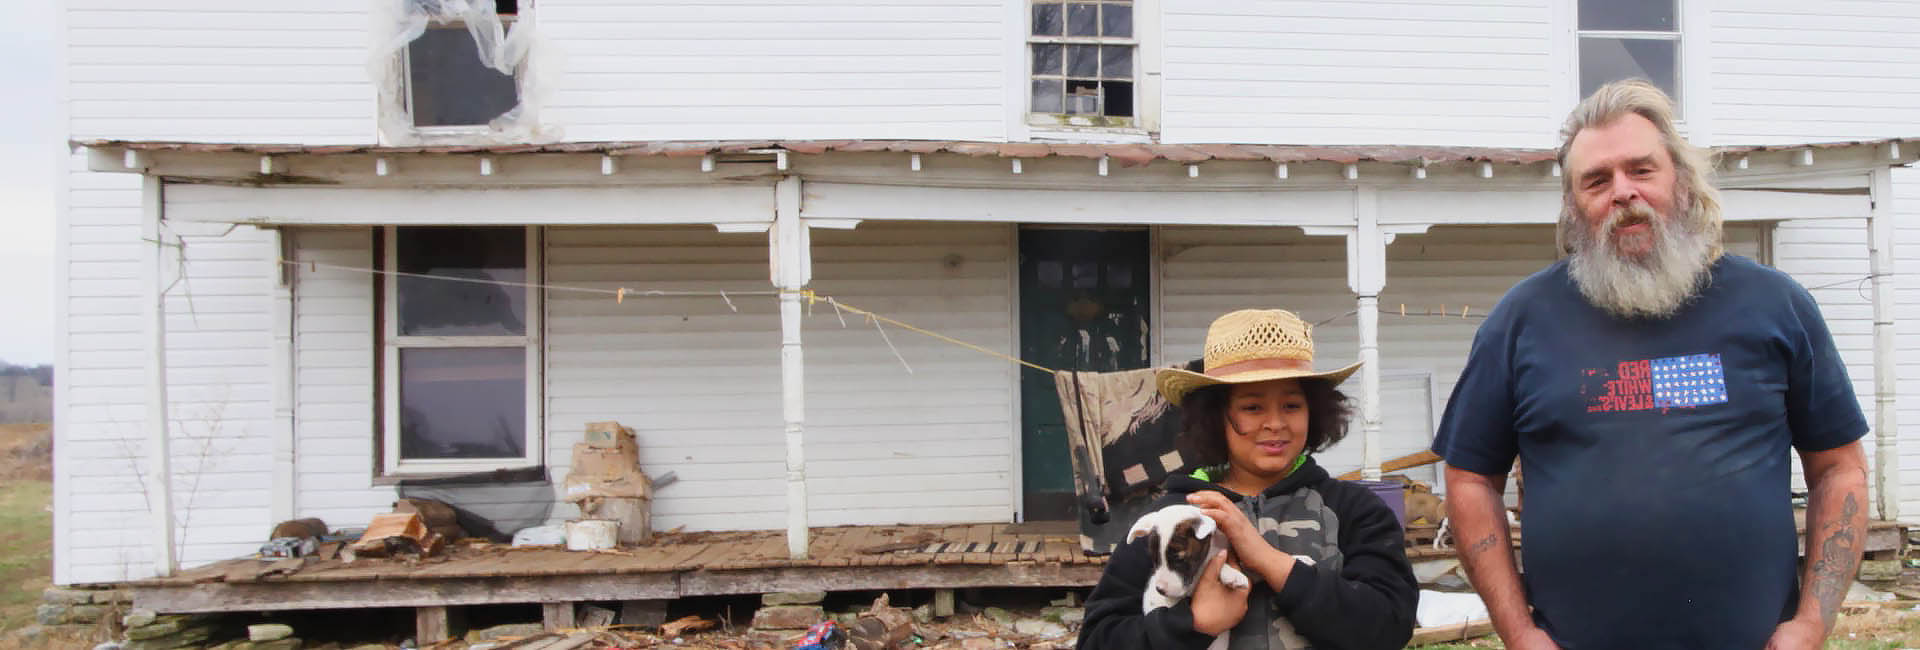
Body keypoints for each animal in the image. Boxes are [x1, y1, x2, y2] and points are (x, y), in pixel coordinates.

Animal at [1121, 502, 1251, 648]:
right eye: (1155, 560)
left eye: (1179, 559)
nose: (1160, 590)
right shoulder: (1190, 585)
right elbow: (1207, 565)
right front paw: (1232, 575)